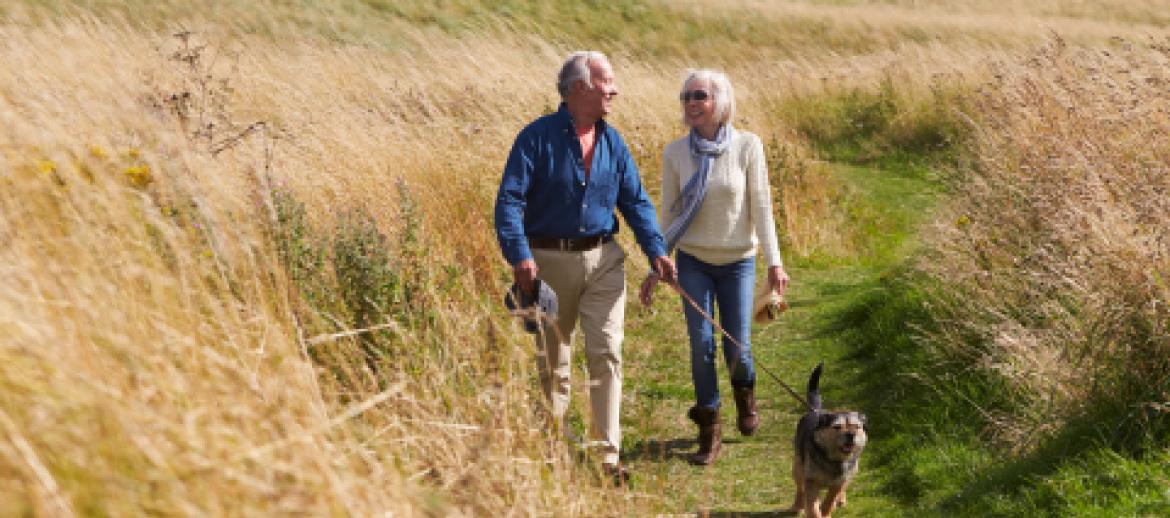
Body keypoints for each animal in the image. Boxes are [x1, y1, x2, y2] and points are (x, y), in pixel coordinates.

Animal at [786, 362, 870, 516]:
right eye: (837, 427)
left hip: (854, 469)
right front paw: (815, 512)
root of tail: (816, 411)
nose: (851, 435)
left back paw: (841, 499)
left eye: (856, 427)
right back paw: (797, 506)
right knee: (800, 488)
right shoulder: (811, 480)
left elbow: (830, 499)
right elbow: (812, 506)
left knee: (843, 486)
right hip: (798, 466)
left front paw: (827, 511)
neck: (834, 459)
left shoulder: (839, 480)